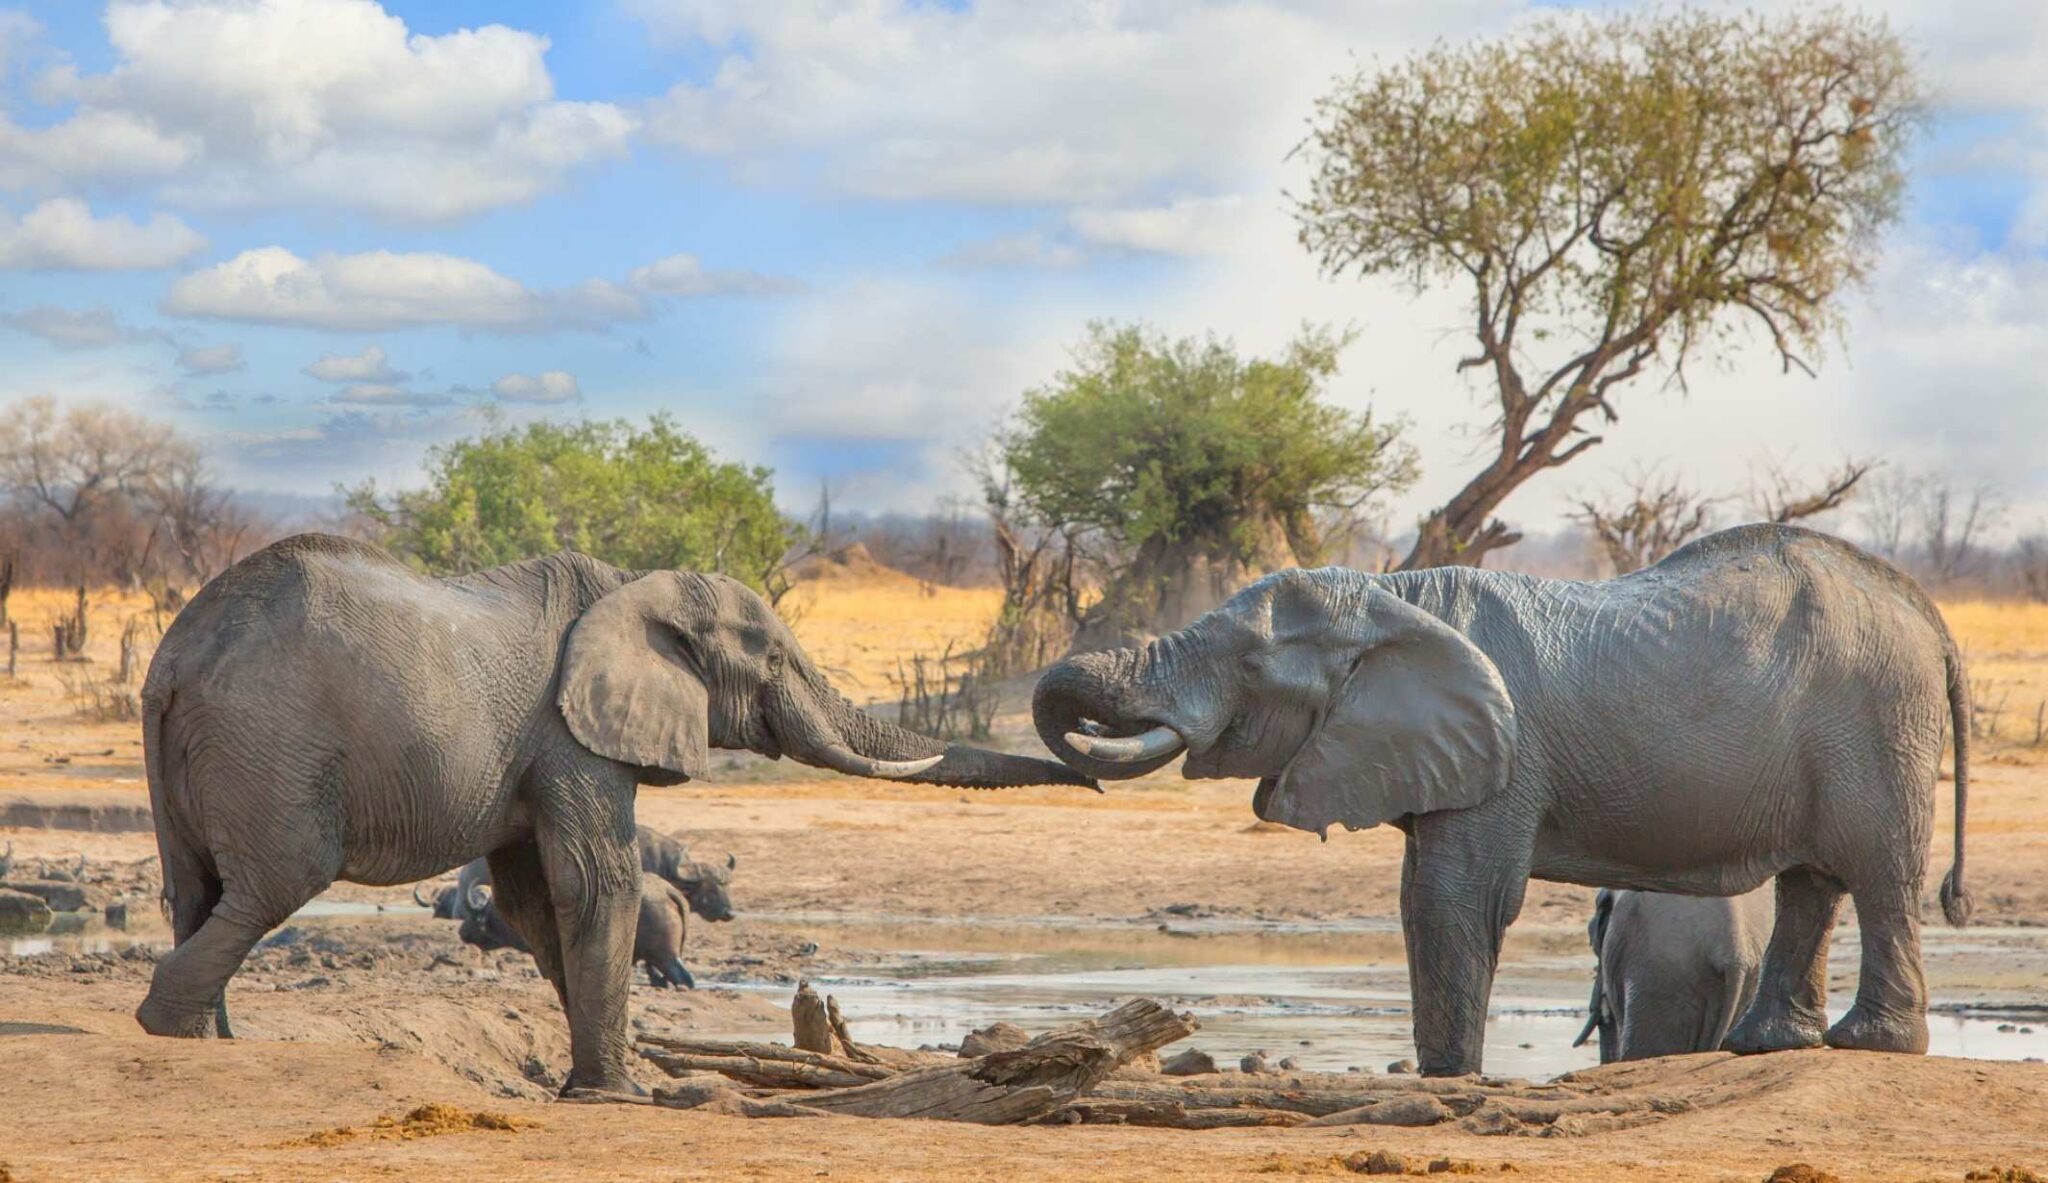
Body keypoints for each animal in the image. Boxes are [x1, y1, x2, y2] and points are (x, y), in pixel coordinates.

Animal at [138, 533, 1092, 1096]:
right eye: (774, 659)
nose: (1091, 778)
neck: (639, 590)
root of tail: (178, 653)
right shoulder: (573, 734)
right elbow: (597, 879)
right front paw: (620, 1094)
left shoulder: (539, 751)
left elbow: (535, 897)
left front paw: (596, 1082)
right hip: (269, 742)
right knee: (274, 882)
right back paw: (166, 1027)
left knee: (197, 890)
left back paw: (210, 1038)